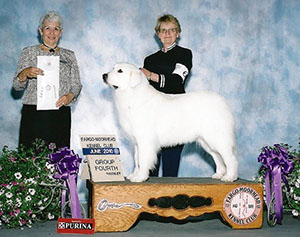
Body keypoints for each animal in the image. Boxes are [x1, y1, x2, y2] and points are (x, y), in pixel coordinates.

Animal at [103, 63, 239, 183]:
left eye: (120, 71)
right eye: (113, 68)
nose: (104, 75)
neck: (132, 95)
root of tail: (223, 101)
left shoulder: (145, 141)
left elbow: (143, 160)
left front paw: (140, 177)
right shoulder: (137, 143)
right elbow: (137, 161)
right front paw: (134, 175)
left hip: (217, 138)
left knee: (231, 158)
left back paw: (230, 177)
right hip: (206, 141)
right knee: (218, 157)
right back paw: (219, 175)